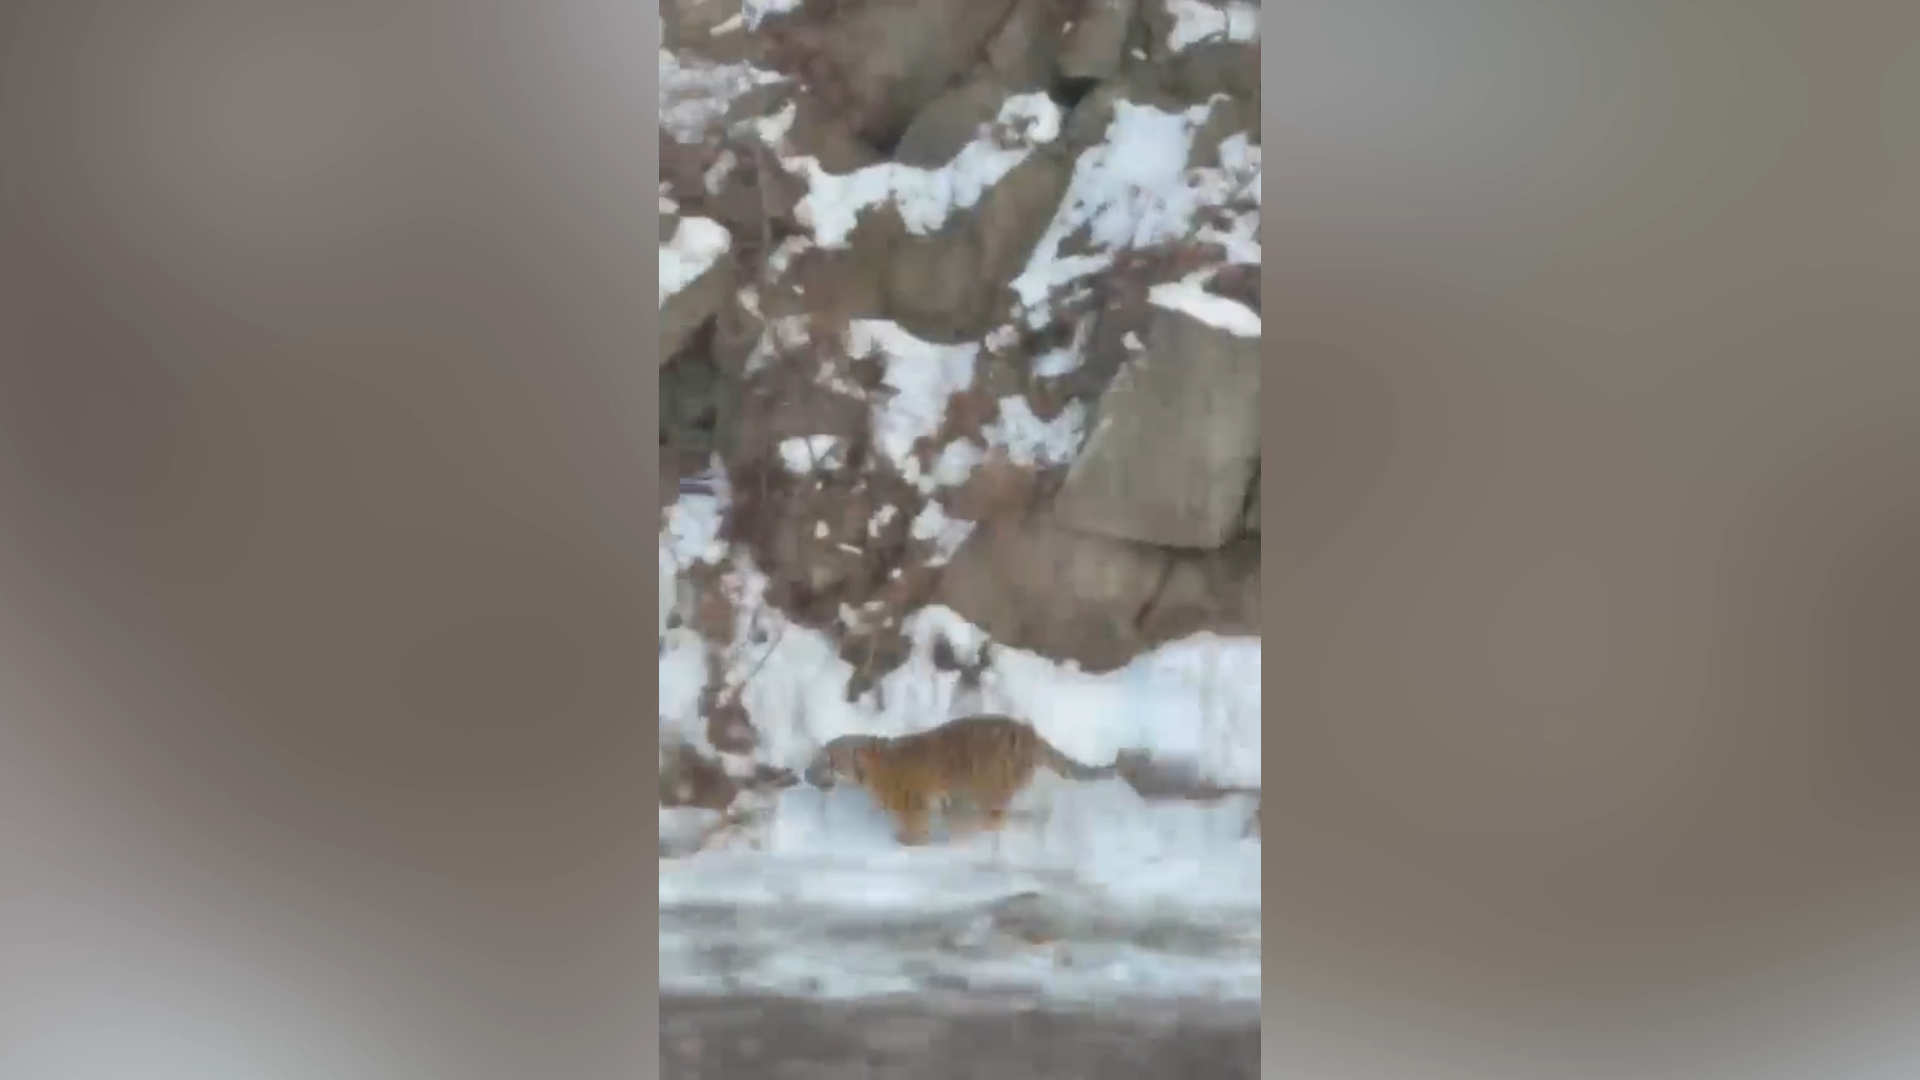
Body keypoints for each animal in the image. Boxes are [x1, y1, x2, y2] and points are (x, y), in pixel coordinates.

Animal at [800, 714, 1149, 846]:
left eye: (828, 760)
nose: (805, 773)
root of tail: (1030, 734)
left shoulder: (912, 805)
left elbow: (914, 828)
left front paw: (905, 843)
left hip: (989, 787)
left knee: (992, 820)